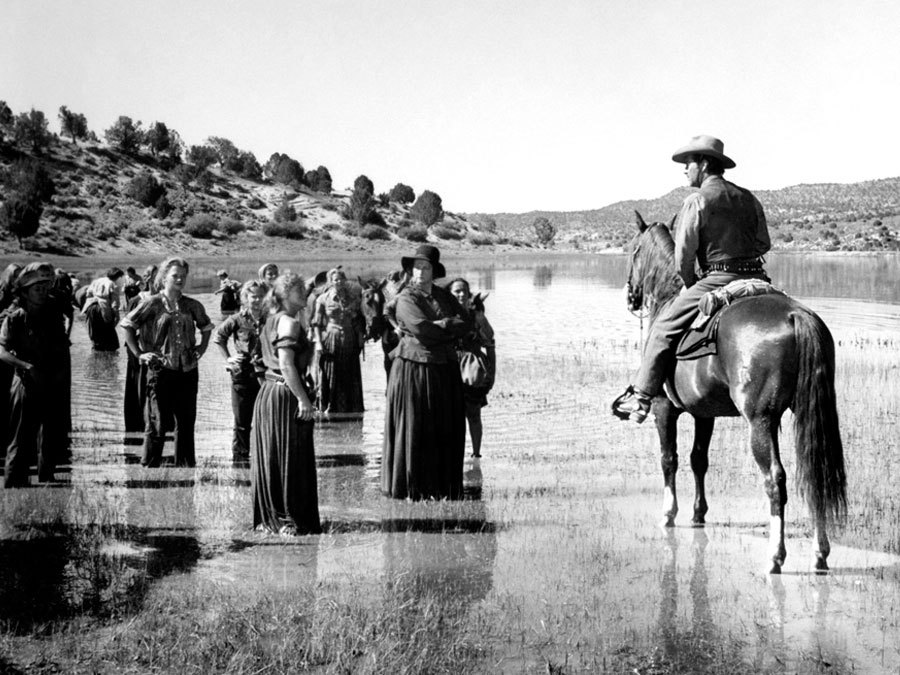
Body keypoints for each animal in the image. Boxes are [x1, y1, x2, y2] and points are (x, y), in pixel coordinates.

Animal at [624, 214, 848, 572]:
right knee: (815, 474)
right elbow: (698, 459)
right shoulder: (704, 413)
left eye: (633, 251)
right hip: (805, 413)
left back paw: (775, 555)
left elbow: (669, 459)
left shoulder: (664, 408)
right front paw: (698, 513)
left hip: (760, 421)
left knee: (775, 480)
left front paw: (669, 513)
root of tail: (795, 315)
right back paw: (820, 552)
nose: (631, 294)